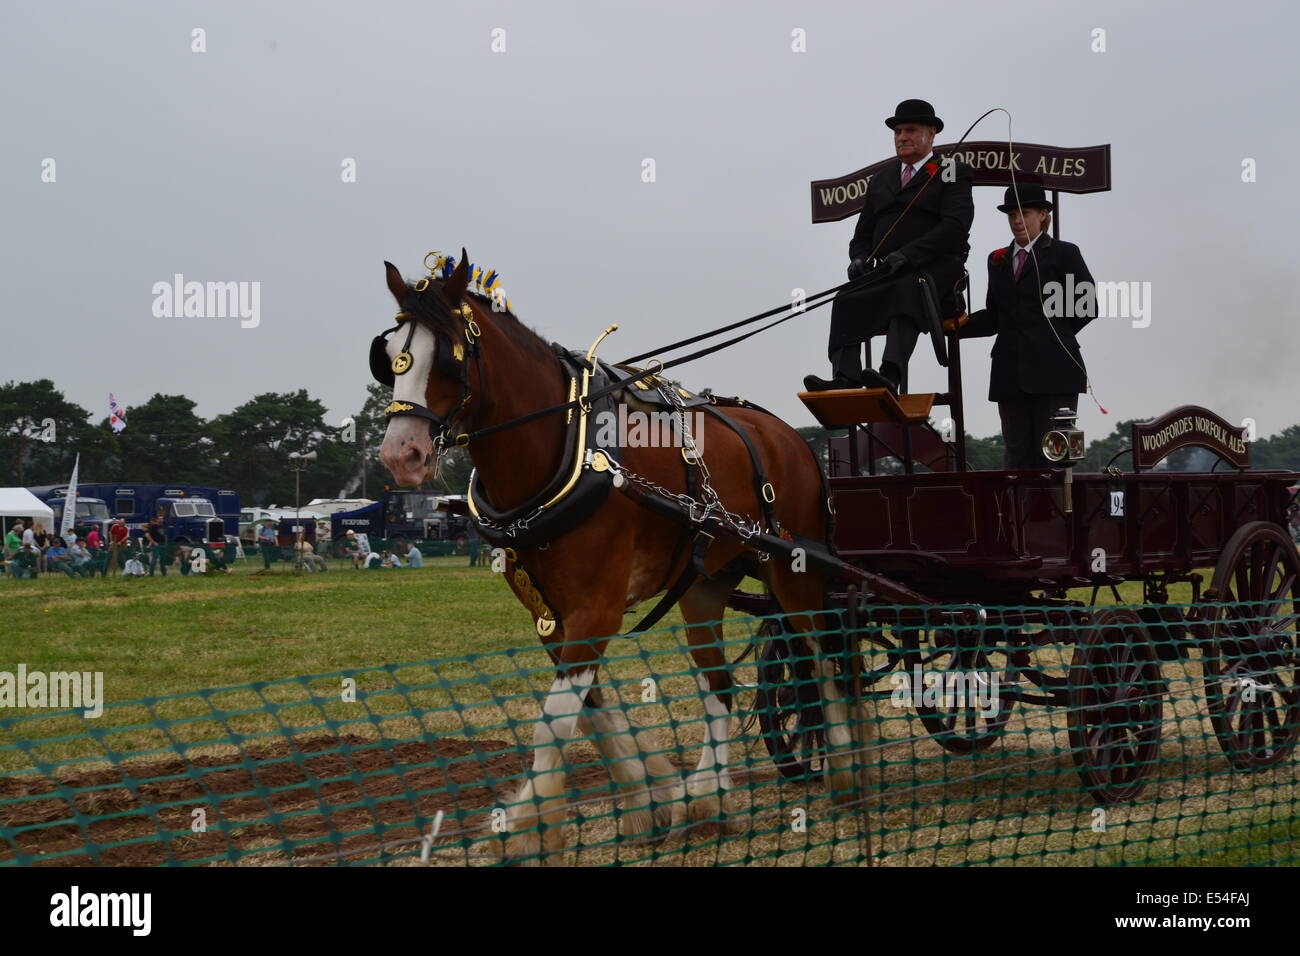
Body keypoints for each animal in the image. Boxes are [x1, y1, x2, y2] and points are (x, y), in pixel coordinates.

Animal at [377, 252, 863, 858]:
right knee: (720, 685)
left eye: (449, 354)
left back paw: (843, 771)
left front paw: (528, 830)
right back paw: (707, 801)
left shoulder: (597, 608)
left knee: (822, 660)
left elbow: (554, 725)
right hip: (706, 584)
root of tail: (790, 437)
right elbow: (590, 714)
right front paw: (647, 803)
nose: (401, 454)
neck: (569, 447)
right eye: (389, 355)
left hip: (795, 574)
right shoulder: (550, 617)